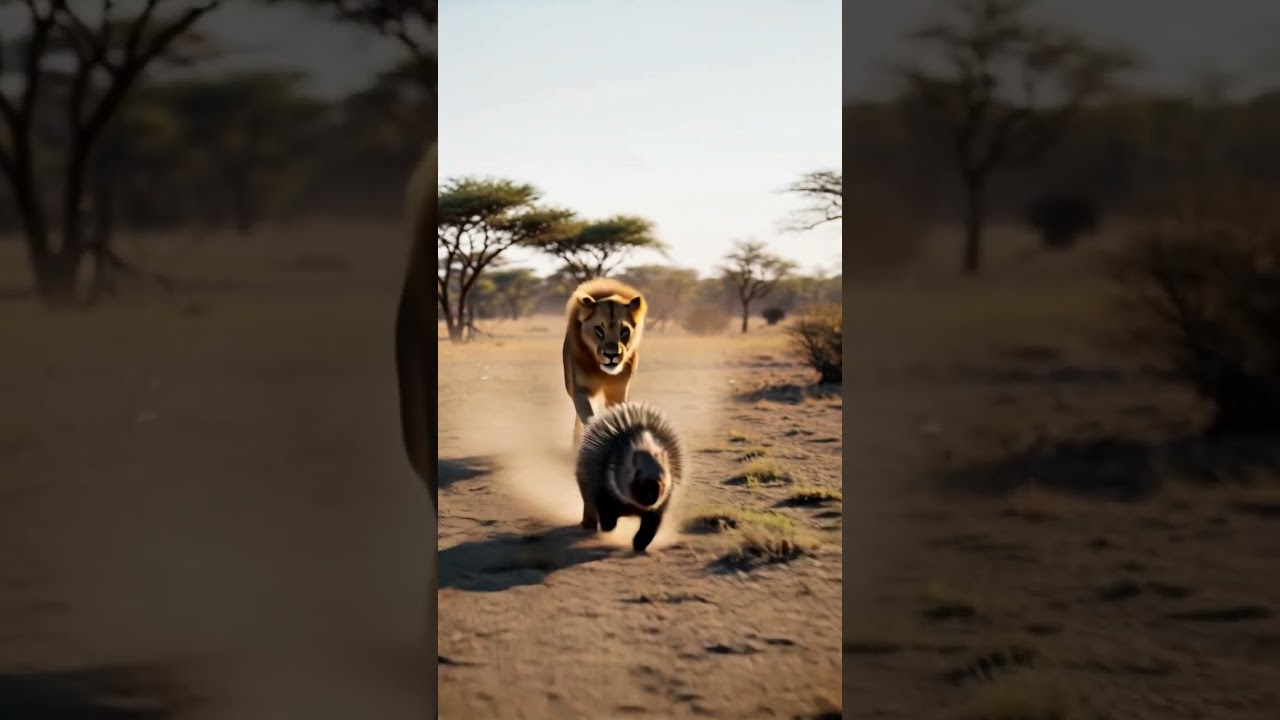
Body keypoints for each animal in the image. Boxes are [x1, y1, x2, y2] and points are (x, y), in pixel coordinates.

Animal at [562, 277, 648, 448]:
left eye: (624, 331)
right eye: (598, 330)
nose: (611, 355)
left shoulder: (618, 391)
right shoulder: (581, 391)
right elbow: (588, 418)